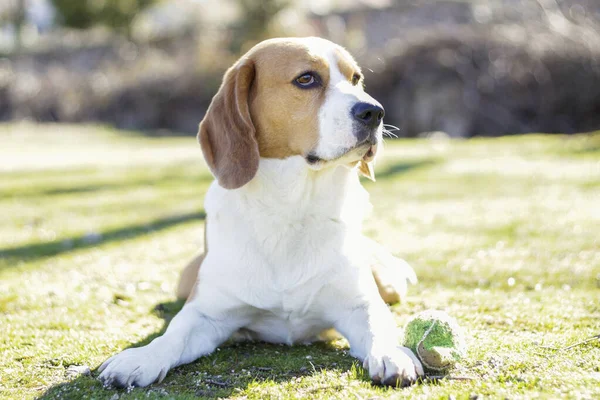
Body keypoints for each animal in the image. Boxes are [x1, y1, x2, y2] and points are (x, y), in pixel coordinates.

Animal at [98, 36, 424, 388]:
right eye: (306, 79)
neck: (290, 208)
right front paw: (140, 358)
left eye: (356, 79)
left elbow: (377, 326)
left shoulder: (358, 304)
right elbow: (173, 335)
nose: (375, 112)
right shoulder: (205, 313)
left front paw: (391, 353)